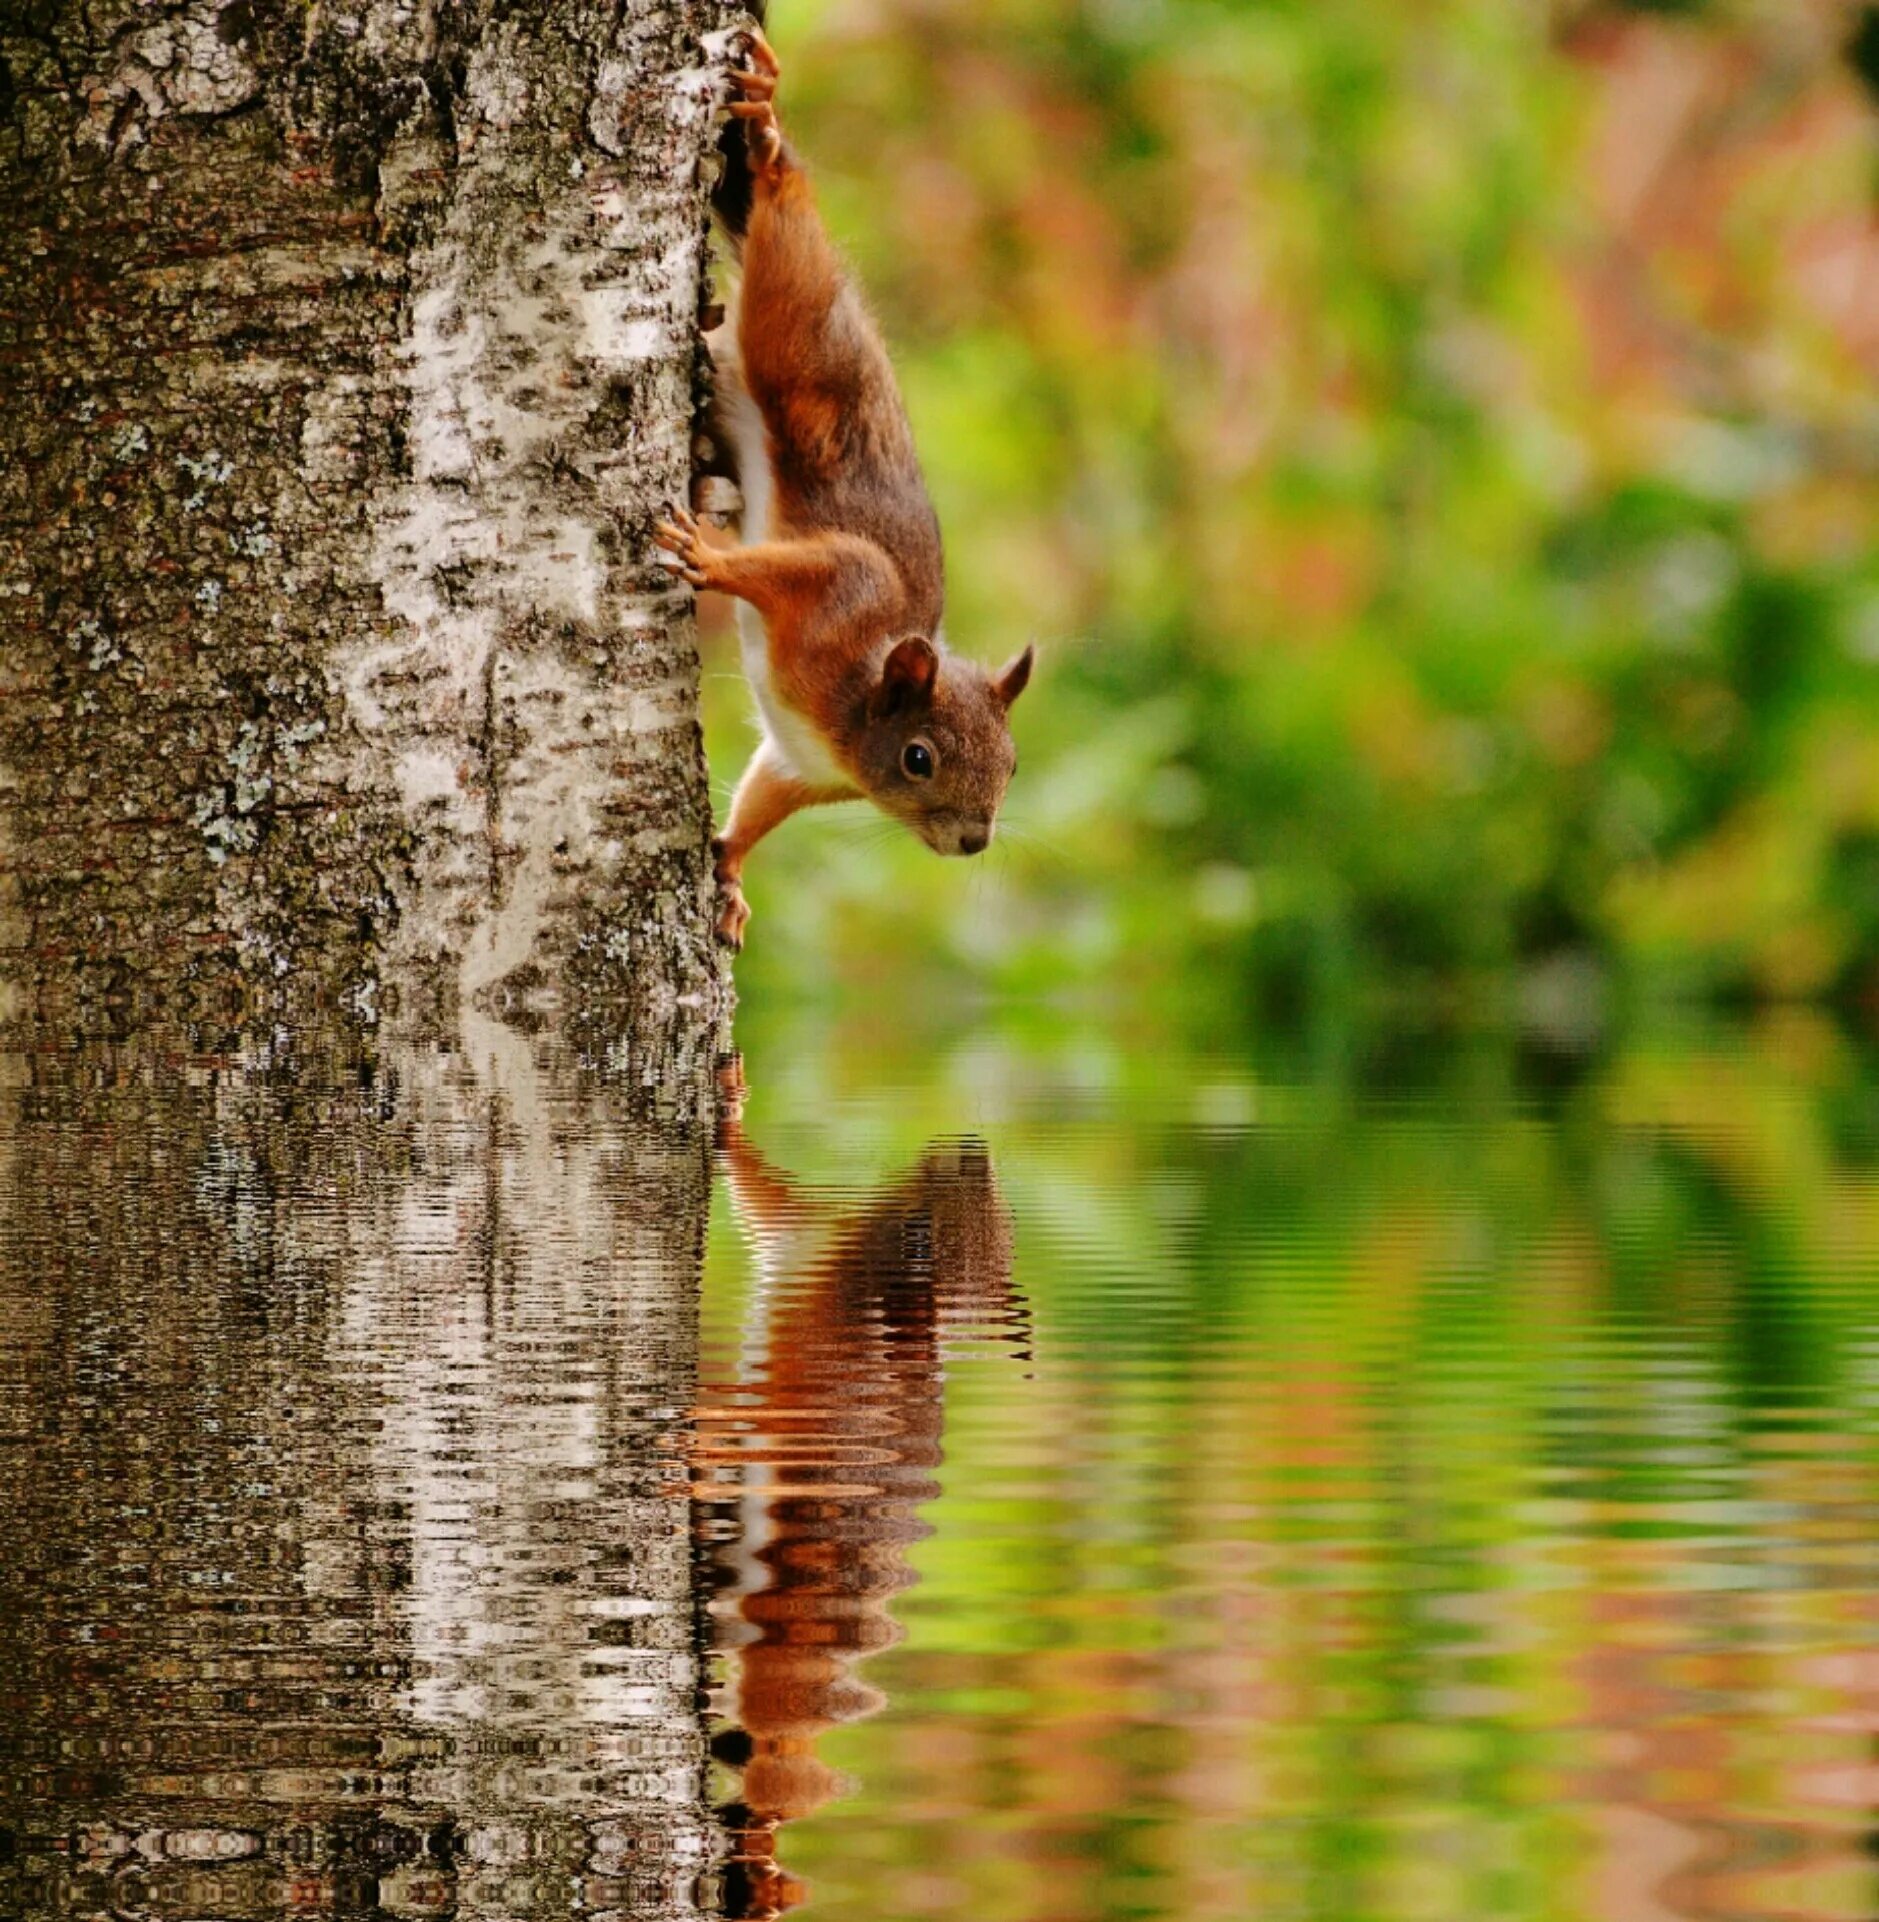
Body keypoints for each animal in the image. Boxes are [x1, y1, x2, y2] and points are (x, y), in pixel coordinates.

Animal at [657, 26, 1029, 957]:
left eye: (1012, 762)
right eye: (918, 758)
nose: (973, 842)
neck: (851, 714)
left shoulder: (800, 766)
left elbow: (758, 805)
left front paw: (729, 876)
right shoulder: (842, 588)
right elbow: (797, 566)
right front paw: (708, 561)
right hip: (794, 331)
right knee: (783, 223)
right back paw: (767, 138)